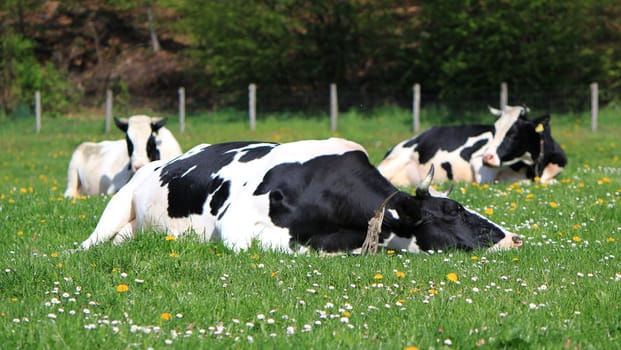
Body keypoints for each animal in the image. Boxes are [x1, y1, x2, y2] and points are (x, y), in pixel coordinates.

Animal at [378, 104, 568, 187]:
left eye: (513, 133)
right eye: (494, 129)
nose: (487, 157)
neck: (534, 167)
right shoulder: (479, 165)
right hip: (395, 159)